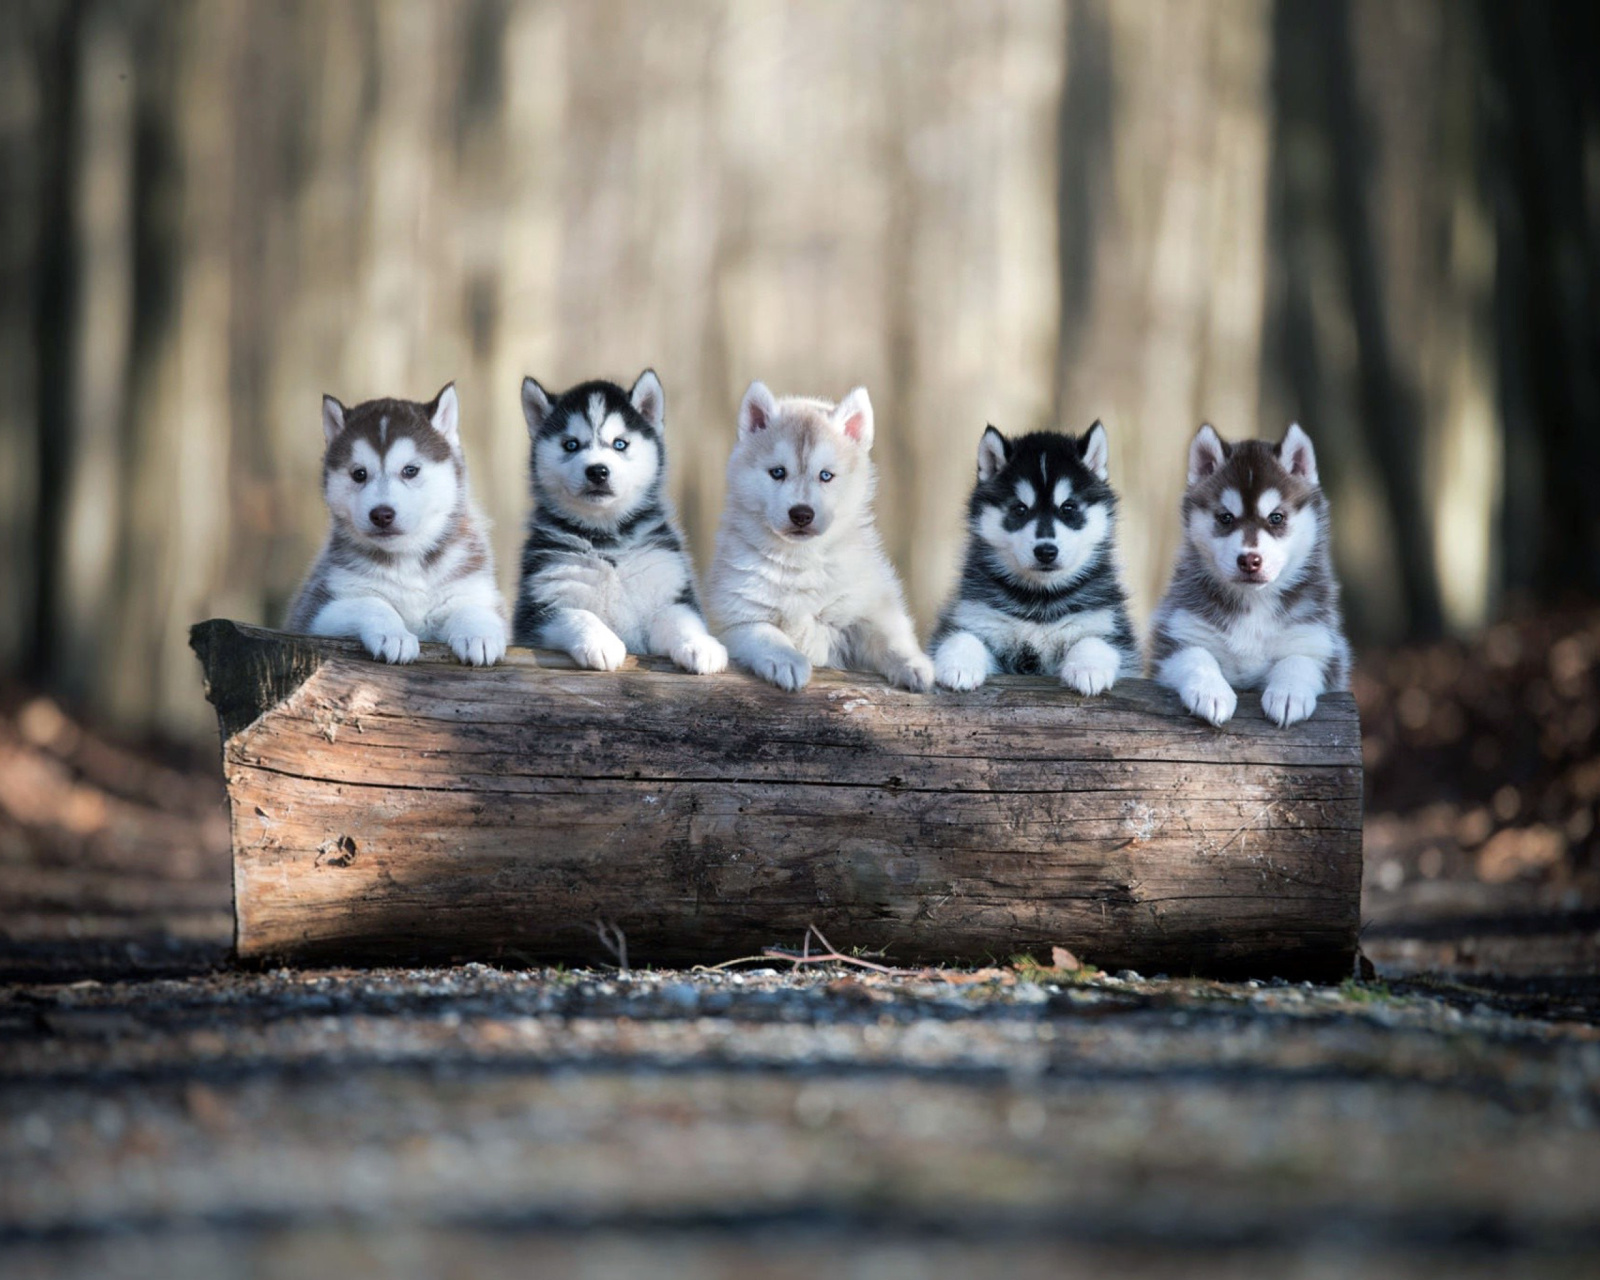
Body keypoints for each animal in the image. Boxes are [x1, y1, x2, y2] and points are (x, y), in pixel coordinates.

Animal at [284, 382, 508, 665]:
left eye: (410, 470)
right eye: (359, 474)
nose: (381, 514)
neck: (407, 559)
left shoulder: (474, 588)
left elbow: (473, 608)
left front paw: (478, 635)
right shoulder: (316, 611)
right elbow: (371, 603)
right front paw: (394, 636)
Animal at [512, 369, 726, 675]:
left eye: (620, 444)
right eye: (571, 444)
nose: (597, 471)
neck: (607, 541)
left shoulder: (669, 589)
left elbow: (679, 618)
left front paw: (700, 645)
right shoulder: (539, 608)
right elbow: (577, 613)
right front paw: (600, 642)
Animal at [707, 385, 934, 694]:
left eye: (826, 475)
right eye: (778, 472)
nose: (801, 514)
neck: (799, 559)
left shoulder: (869, 606)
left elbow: (889, 637)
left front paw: (914, 663)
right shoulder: (737, 619)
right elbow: (768, 634)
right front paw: (788, 660)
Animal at [934, 422, 1145, 694]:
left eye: (1068, 508)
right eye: (1020, 509)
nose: (1046, 551)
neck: (1040, 599)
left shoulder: (1108, 625)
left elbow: (1095, 641)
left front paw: (1088, 668)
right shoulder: (977, 616)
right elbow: (962, 636)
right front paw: (958, 665)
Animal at [1152, 425, 1350, 726]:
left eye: (1276, 517)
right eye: (1225, 518)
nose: (1249, 560)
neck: (1254, 602)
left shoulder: (1319, 641)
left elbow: (1299, 660)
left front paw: (1288, 694)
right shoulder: (1178, 633)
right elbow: (1196, 656)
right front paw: (1211, 692)